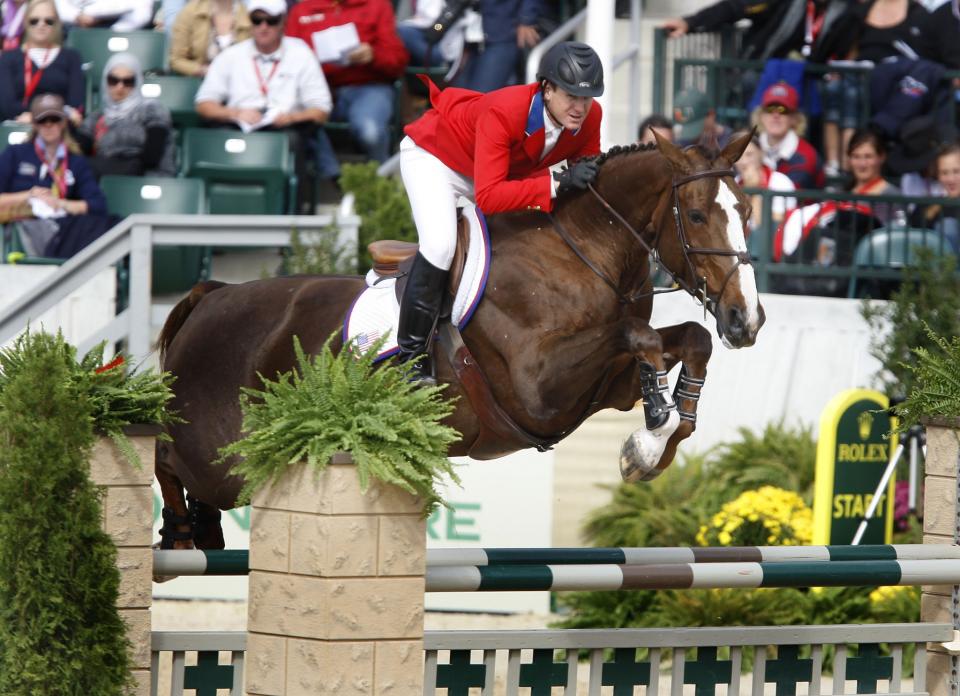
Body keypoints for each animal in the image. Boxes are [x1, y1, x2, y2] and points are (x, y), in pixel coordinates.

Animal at [158, 132, 764, 548]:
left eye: (749, 211)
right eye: (697, 215)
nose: (746, 320)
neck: (583, 251)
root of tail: (209, 297)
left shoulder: (601, 388)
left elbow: (686, 341)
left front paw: (657, 437)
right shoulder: (538, 388)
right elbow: (638, 335)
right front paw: (648, 438)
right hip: (216, 453)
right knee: (166, 457)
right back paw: (181, 533)